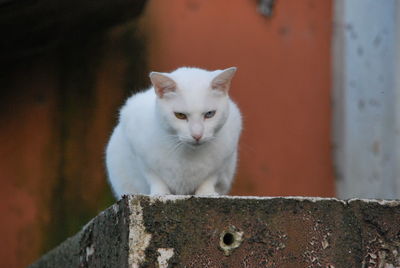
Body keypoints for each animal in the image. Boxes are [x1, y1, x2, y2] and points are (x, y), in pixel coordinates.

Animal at [105, 66, 241, 198]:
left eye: (210, 114)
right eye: (180, 115)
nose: (197, 135)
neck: (188, 154)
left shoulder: (222, 161)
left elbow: (209, 179)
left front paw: (206, 193)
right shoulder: (141, 156)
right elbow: (154, 178)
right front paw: (160, 193)